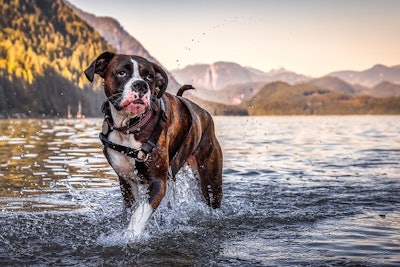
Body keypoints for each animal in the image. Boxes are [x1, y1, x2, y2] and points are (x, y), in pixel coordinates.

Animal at [84, 51, 222, 237]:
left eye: (149, 76)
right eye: (122, 73)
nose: (141, 85)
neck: (130, 127)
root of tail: (204, 113)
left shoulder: (158, 182)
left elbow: (139, 214)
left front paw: (130, 236)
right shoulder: (126, 181)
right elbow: (133, 209)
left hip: (210, 180)